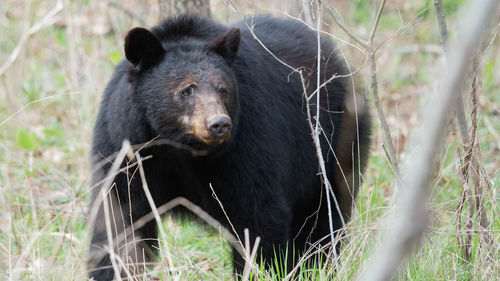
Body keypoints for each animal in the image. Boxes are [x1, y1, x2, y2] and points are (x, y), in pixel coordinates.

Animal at [88, 14, 372, 278]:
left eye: (223, 90)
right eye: (186, 90)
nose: (219, 124)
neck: (179, 147)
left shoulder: (247, 144)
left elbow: (257, 217)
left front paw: (261, 270)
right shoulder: (126, 150)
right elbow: (119, 221)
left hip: (333, 143)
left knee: (323, 218)